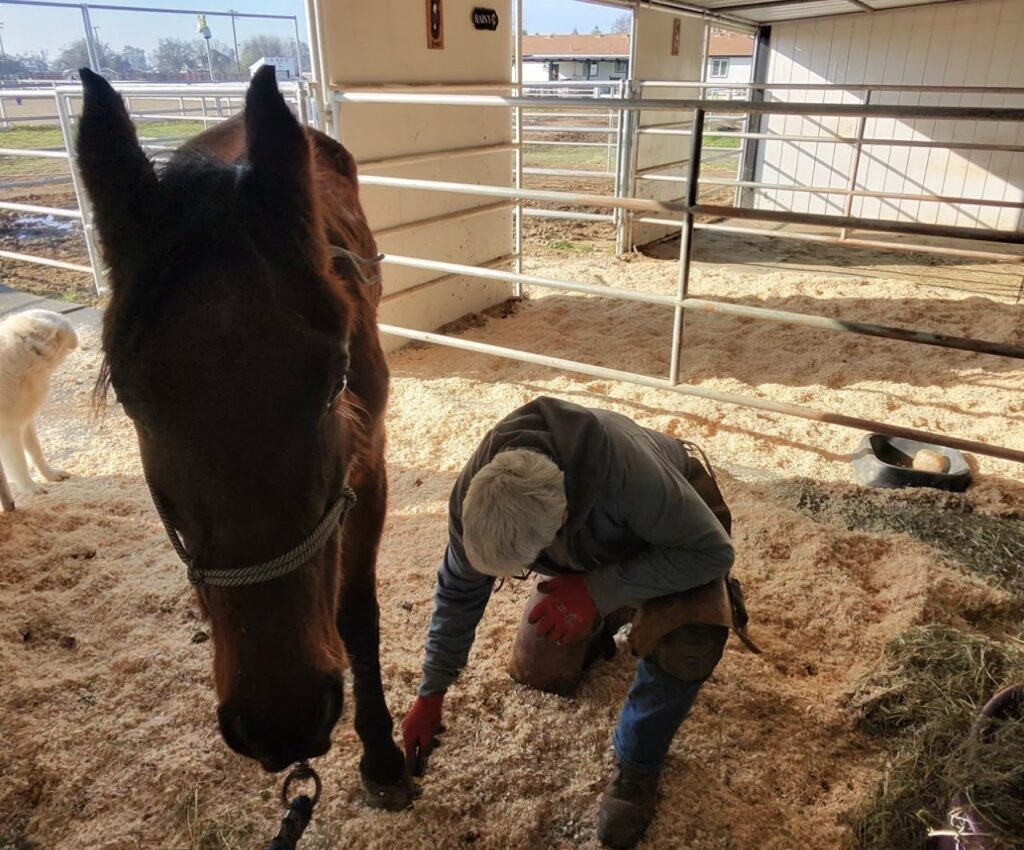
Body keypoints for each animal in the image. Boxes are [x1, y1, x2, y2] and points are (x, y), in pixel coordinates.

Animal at [76, 66, 411, 809]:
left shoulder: (369, 473)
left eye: (335, 377)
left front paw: (382, 757)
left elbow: (358, 616)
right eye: (131, 399)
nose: (282, 719)